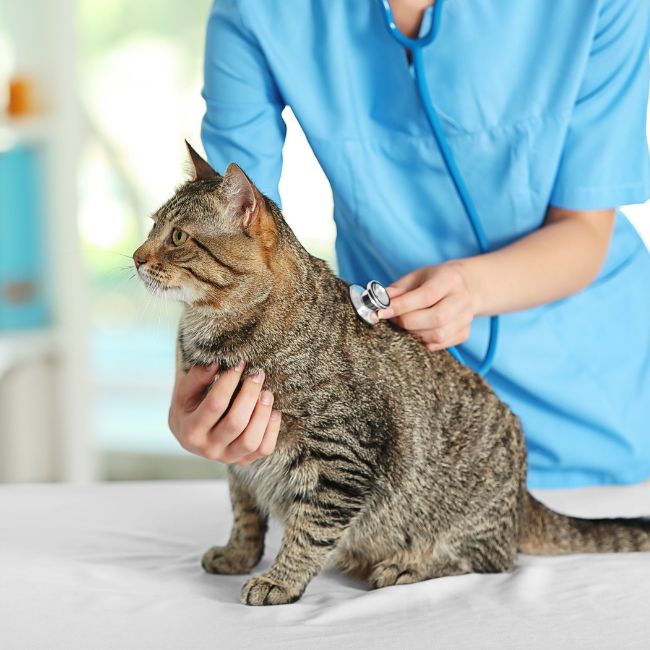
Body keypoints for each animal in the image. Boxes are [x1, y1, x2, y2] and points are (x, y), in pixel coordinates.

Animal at [133, 142, 648, 604]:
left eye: (177, 237)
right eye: (153, 225)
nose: (137, 257)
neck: (212, 333)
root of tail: (524, 496)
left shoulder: (341, 458)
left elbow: (309, 531)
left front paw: (281, 580)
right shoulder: (240, 458)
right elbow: (245, 513)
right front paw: (238, 554)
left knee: (490, 560)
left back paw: (405, 566)